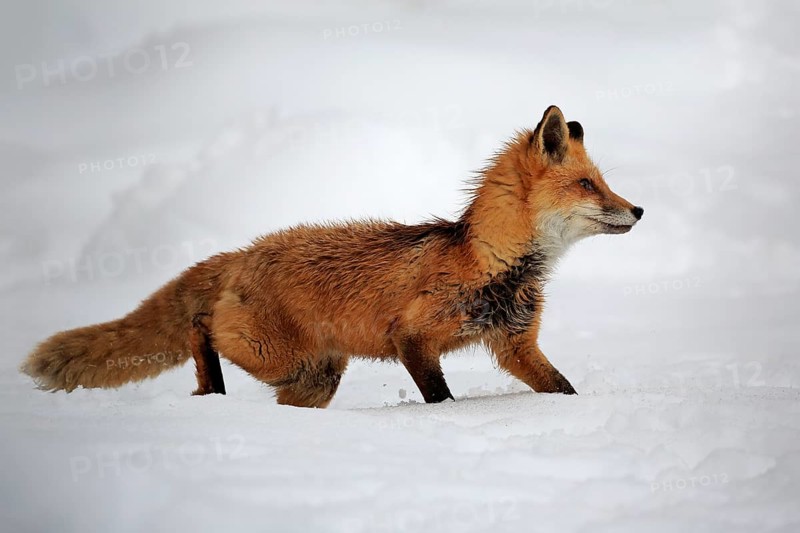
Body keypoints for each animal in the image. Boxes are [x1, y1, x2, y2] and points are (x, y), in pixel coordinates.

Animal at [21, 105, 643, 408]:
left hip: (314, 377)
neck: (489, 262)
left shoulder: (515, 345)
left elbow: (562, 389)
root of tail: (243, 252)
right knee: (202, 327)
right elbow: (440, 398)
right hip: (278, 356)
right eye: (589, 185)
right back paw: (210, 384)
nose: (638, 211)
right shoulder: (412, 337)